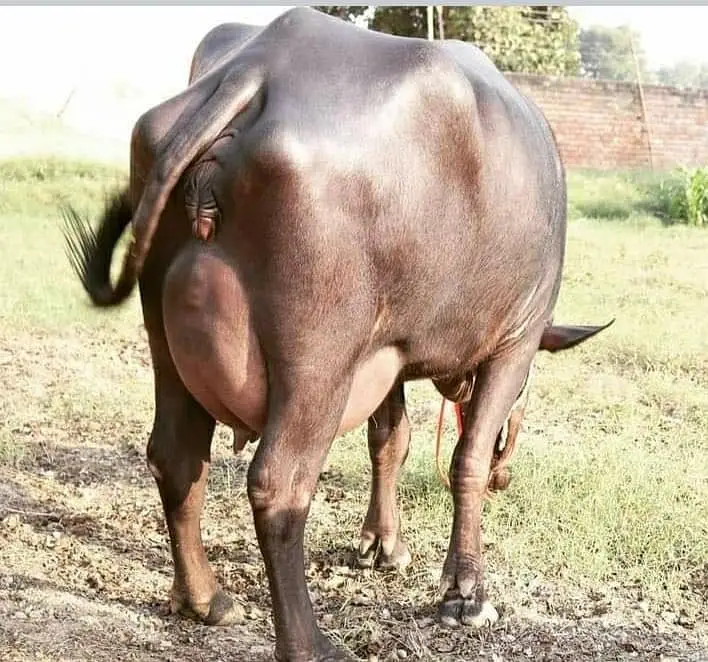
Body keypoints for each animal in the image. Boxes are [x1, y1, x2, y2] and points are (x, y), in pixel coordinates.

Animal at [62, 8, 613, 661]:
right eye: (530, 389)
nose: (511, 474)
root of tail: (256, 68)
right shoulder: (514, 342)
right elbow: (467, 459)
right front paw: (464, 591)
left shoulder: (387, 356)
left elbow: (391, 441)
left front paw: (382, 543)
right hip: (318, 364)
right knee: (278, 485)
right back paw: (308, 642)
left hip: (166, 342)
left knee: (175, 456)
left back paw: (205, 599)